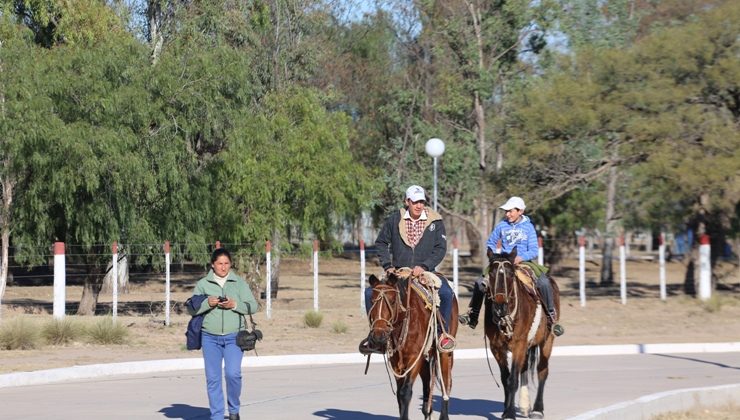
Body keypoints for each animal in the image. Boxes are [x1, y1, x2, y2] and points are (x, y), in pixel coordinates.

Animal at [364, 270, 456, 420]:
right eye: (372, 301)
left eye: (392, 301)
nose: (378, 337)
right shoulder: (396, 361)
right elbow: (399, 394)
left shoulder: (414, 358)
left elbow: (405, 392)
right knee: (427, 380)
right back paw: (427, 411)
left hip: (444, 354)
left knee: (446, 382)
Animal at [482, 251, 556, 418]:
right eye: (491, 273)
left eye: (510, 274)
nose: (500, 305)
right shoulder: (496, 348)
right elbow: (506, 378)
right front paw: (506, 410)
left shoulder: (519, 345)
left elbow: (513, 380)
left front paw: (509, 413)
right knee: (525, 369)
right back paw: (525, 405)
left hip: (547, 341)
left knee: (542, 371)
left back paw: (537, 409)